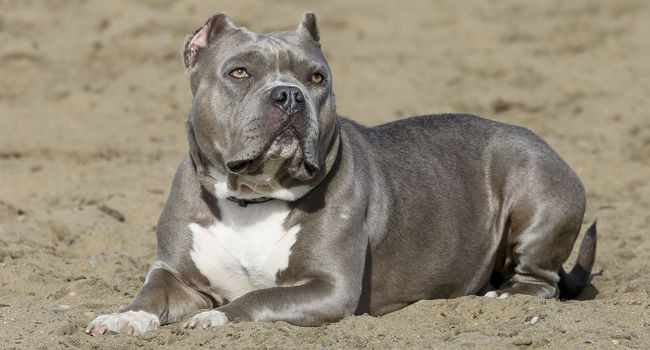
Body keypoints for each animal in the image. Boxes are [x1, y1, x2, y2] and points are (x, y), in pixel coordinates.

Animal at [85, 11, 592, 336]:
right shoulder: (175, 274)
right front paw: (123, 318)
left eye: (317, 78)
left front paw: (216, 318)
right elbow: (150, 295)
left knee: (541, 282)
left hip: (535, 188)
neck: (253, 197)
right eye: (239, 72)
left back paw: (505, 297)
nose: (288, 94)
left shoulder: (330, 288)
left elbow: (258, 298)